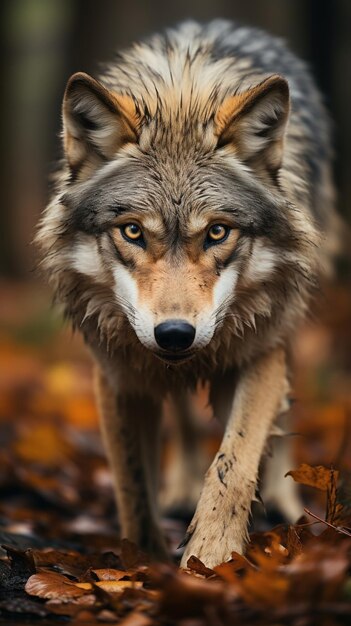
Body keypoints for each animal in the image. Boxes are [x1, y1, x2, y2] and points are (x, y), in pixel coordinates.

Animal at [35, 19, 338, 564]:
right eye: (133, 231)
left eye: (217, 232)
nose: (175, 333)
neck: (184, 93)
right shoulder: (118, 375)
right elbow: (132, 482)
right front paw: (141, 557)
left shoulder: (259, 352)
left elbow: (233, 464)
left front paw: (212, 558)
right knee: (183, 420)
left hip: (290, 316)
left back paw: (284, 502)